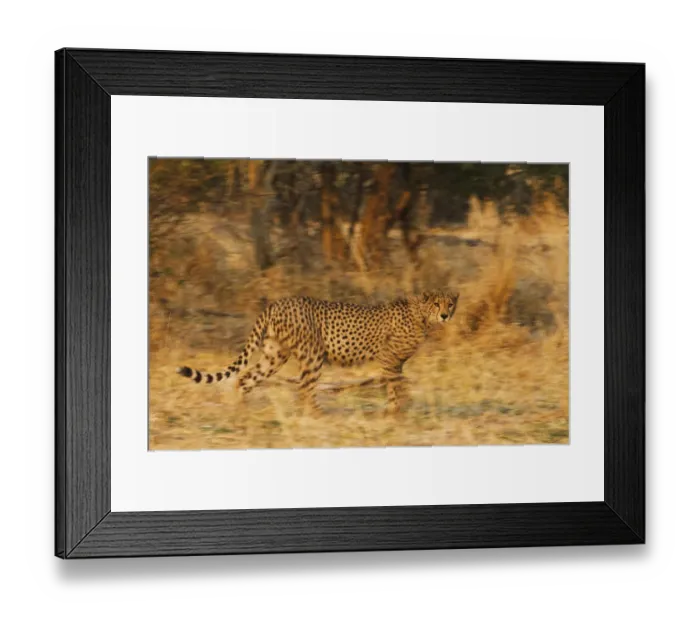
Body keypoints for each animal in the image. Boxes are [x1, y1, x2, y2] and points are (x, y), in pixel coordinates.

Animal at [176, 289, 459, 414]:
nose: (446, 315)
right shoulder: (389, 359)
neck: (421, 315)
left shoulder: (394, 362)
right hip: (312, 354)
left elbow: (395, 385)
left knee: (246, 377)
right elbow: (400, 383)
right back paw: (318, 415)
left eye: (450, 304)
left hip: (275, 355)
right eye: (437, 304)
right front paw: (401, 408)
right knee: (304, 386)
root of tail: (278, 302)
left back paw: (241, 410)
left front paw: (394, 411)